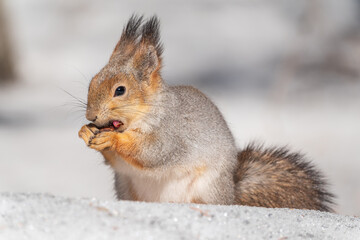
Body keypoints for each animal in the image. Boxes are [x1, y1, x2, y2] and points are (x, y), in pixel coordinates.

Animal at [79, 15, 334, 211]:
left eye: (120, 90)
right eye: (91, 82)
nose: (91, 116)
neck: (149, 111)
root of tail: (230, 195)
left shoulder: (173, 133)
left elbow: (153, 153)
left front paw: (112, 139)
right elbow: (116, 162)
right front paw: (85, 132)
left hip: (208, 186)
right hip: (125, 187)